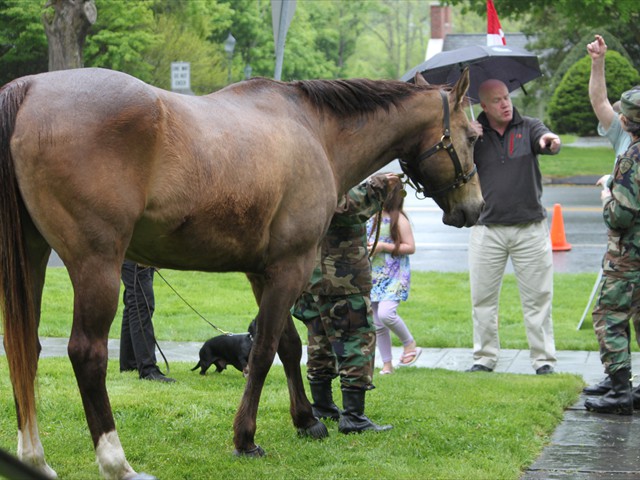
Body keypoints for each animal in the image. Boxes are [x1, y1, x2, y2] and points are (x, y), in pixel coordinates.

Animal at [0, 66, 482, 479]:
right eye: (473, 135)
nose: (475, 208)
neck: (314, 131)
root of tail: (29, 89)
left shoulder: (262, 273)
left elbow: (289, 345)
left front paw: (307, 420)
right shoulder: (291, 267)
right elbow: (266, 350)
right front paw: (246, 438)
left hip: (33, 256)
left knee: (26, 346)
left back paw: (36, 458)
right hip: (96, 264)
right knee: (86, 353)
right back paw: (117, 463)